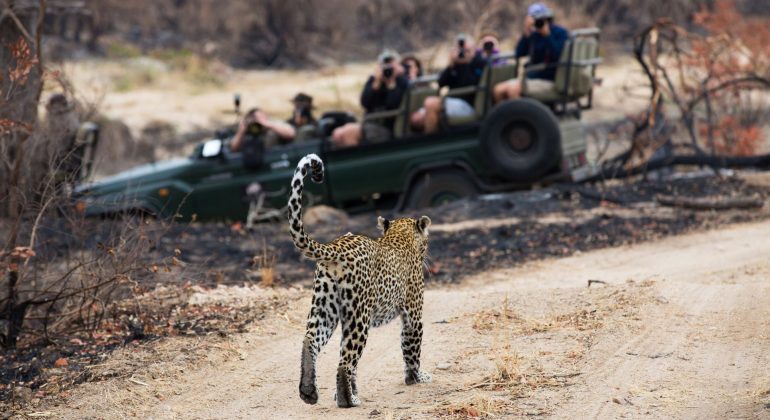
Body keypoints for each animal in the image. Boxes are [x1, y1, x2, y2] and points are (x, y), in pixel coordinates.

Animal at [288, 153, 432, 408]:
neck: (400, 235)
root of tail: (335, 246)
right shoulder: (413, 314)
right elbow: (411, 348)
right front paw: (416, 378)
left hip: (324, 307)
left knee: (310, 341)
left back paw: (309, 391)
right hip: (358, 315)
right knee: (345, 362)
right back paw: (349, 400)